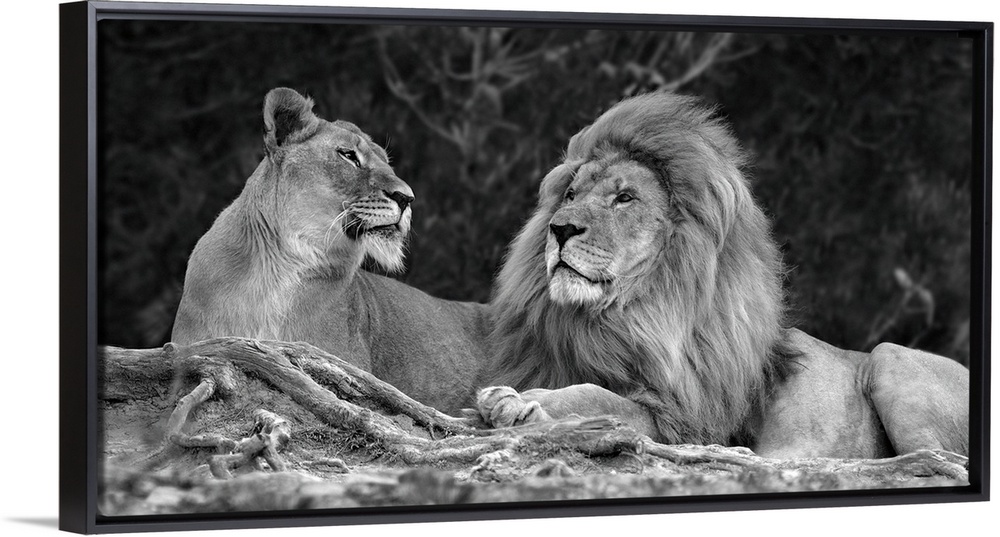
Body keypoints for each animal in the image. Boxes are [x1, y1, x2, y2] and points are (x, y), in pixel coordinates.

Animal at [476, 92, 969, 459]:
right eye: (571, 194)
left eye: (625, 198)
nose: (560, 229)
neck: (624, 316)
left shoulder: (684, 419)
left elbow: (597, 397)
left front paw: (518, 402)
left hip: (888, 357)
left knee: (938, 457)